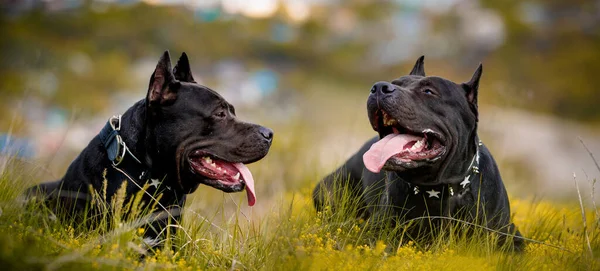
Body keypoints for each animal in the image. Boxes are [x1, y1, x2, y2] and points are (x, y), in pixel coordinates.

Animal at [312, 57, 524, 251]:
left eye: (428, 91)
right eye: (395, 82)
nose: (379, 87)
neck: (444, 189)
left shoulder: (510, 236)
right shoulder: (380, 229)